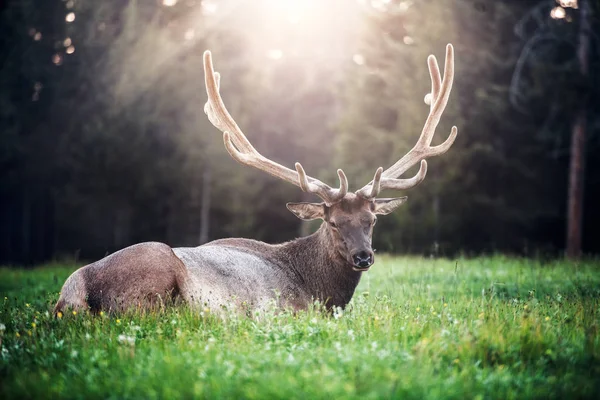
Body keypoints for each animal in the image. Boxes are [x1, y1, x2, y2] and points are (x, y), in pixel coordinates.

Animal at [55, 43, 460, 316]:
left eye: (372, 219)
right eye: (332, 222)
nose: (363, 256)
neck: (320, 291)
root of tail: (75, 296)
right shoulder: (285, 310)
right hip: (155, 279)